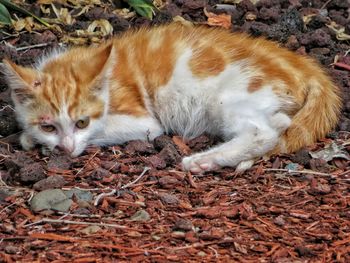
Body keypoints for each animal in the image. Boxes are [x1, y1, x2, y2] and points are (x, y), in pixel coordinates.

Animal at [2, 23, 342, 174]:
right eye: (49, 126)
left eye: (82, 122)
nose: (67, 148)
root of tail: (305, 66)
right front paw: (32, 137)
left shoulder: (144, 121)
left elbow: (110, 130)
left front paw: (37, 142)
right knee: (280, 122)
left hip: (231, 94)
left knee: (265, 131)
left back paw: (204, 160)